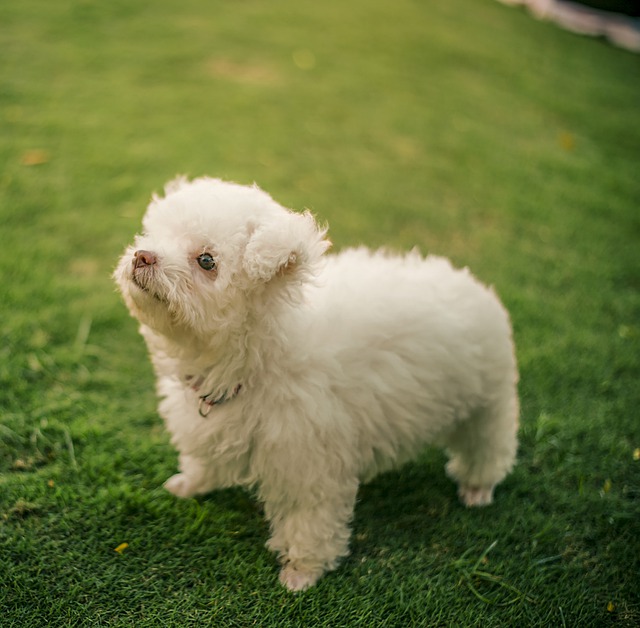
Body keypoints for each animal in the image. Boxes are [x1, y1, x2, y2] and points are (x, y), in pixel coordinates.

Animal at [112, 178, 516, 592]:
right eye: (156, 235)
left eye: (206, 261)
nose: (142, 256)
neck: (259, 355)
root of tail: (470, 283)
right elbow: (203, 460)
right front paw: (191, 484)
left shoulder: (310, 461)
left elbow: (310, 521)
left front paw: (302, 571)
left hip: (487, 405)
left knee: (487, 446)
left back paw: (477, 488)